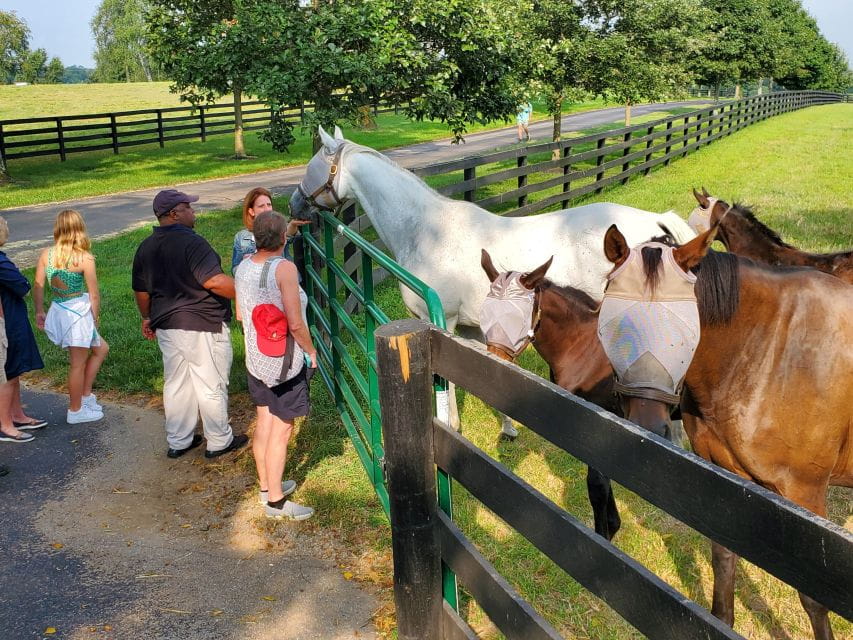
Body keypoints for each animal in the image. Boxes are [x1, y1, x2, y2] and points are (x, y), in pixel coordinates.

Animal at [289, 125, 697, 437]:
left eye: (311, 167)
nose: (294, 204)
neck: (427, 230)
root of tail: (657, 223)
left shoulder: (443, 322)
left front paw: (451, 427)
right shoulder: (473, 327)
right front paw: (508, 427)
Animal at [597, 221, 853, 640]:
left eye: (683, 332)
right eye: (611, 325)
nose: (646, 430)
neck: (769, 351)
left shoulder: (806, 495)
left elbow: (814, 598)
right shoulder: (722, 477)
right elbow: (724, 558)